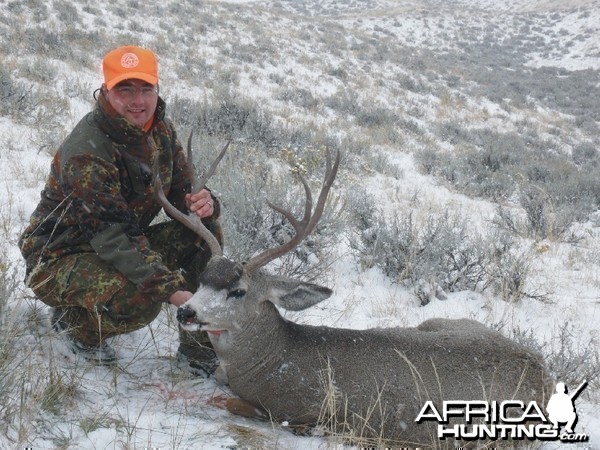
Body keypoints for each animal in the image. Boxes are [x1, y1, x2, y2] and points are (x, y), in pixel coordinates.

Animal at [155, 140, 552, 446]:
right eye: (202, 278)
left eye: (237, 291)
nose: (186, 312)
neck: (272, 357)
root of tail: (543, 377)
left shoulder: (299, 412)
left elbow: (231, 403)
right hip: (442, 322)